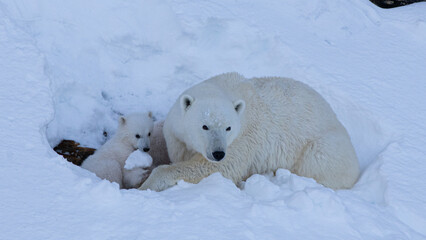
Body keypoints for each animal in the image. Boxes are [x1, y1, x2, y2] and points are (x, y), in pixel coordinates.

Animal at [140, 72, 360, 191]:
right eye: (205, 126)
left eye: (228, 128)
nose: (218, 153)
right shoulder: (176, 131)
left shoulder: (242, 139)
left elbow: (219, 168)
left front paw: (145, 185)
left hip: (324, 147)